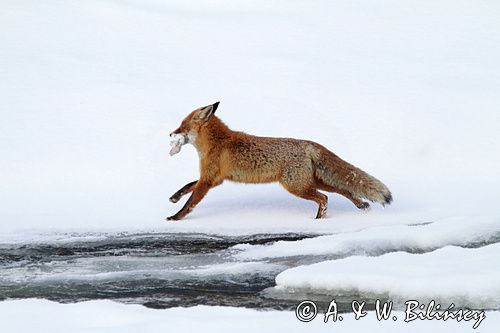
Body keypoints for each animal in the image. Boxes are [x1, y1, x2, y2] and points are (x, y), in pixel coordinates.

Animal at [166, 101, 392, 220]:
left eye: (182, 126)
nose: (170, 134)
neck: (217, 143)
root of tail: (309, 144)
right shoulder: (213, 178)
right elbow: (187, 186)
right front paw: (174, 198)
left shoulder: (209, 180)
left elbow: (191, 200)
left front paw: (176, 217)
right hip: (313, 181)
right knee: (344, 190)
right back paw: (361, 206)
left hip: (297, 186)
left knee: (325, 198)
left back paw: (319, 219)